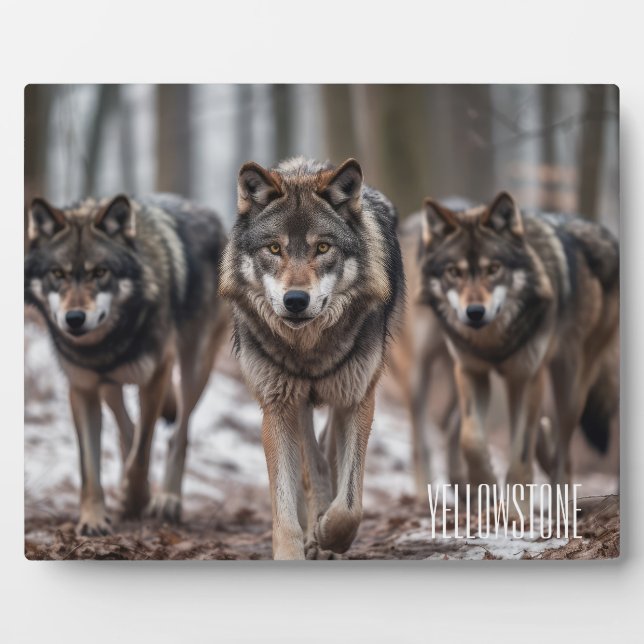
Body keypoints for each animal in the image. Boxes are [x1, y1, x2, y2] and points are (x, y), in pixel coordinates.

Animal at [25, 193, 228, 535]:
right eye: (58, 274)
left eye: (100, 272)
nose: (74, 318)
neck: (106, 345)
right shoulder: (82, 389)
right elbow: (89, 467)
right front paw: (93, 518)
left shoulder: (157, 374)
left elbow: (143, 452)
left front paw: (135, 500)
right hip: (110, 385)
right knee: (127, 428)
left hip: (194, 368)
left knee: (178, 434)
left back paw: (168, 500)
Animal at [220, 157, 404, 559]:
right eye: (274, 249)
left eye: (322, 248)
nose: (295, 300)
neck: (309, 349)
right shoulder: (277, 406)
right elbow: (286, 506)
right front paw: (299, 545)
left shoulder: (357, 398)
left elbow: (350, 504)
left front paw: (330, 535)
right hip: (296, 401)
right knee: (313, 458)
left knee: (329, 449)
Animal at [415, 191, 619, 512]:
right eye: (454, 272)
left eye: (493, 269)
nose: (475, 312)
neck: (493, 341)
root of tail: (606, 235)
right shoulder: (471, 372)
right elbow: (471, 440)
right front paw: (484, 486)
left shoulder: (530, 376)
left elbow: (521, 451)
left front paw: (516, 511)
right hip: (511, 384)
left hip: (568, 386)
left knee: (564, 449)